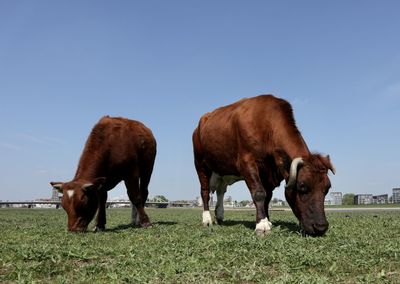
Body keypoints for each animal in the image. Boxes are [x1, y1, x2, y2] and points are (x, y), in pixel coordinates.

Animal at [193, 94, 334, 236]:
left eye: (327, 188)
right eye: (302, 186)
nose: (321, 227)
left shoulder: (268, 172)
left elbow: (268, 197)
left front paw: (267, 220)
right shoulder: (246, 162)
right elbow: (259, 193)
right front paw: (262, 225)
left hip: (222, 170)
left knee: (221, 191)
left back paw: (220, 216)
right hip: (200, 164)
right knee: (204, 191)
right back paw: (207, 220)